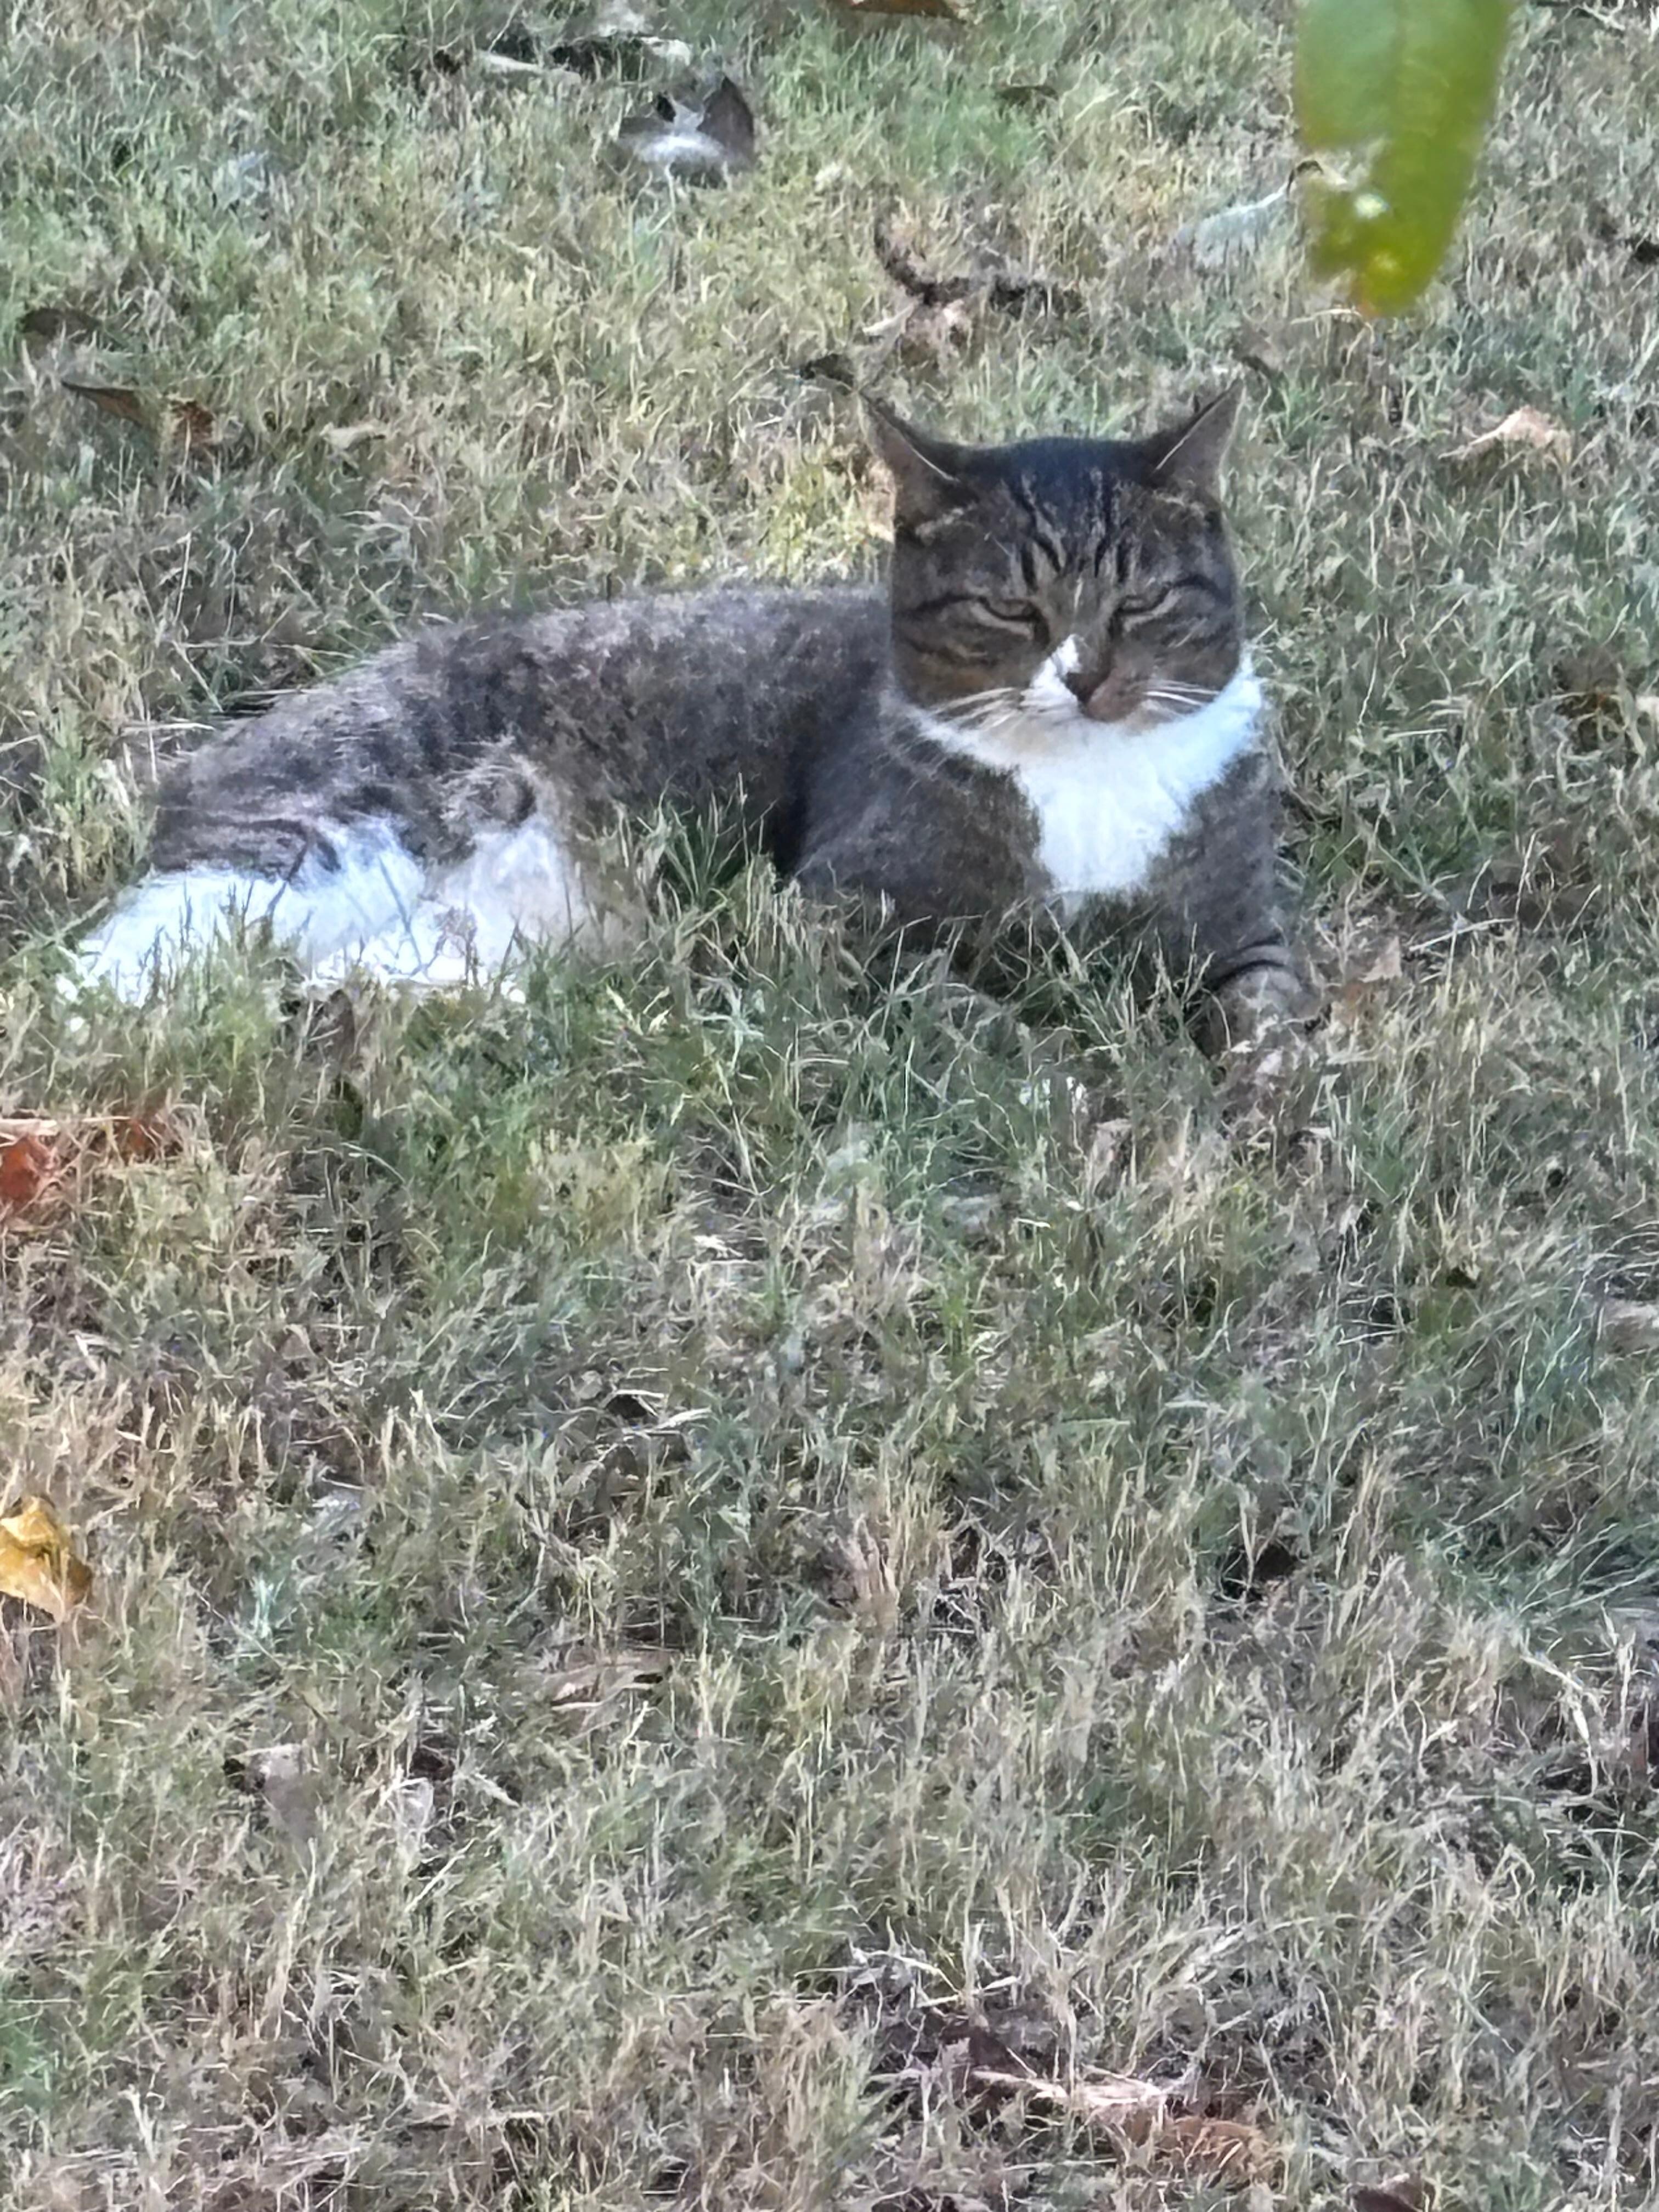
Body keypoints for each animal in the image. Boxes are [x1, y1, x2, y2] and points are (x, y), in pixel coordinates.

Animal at [74, 387, 1309, 1039]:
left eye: (1139, 601)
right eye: (1012, 605)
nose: (1083, 677)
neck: (1088, 778)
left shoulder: (1239, 914)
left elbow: (1274, 996)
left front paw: (1273, 1077)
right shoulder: (837, 906)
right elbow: (941, 989)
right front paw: (1026, 1041)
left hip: (480, 944)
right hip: (344, 820)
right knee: (129, 949)